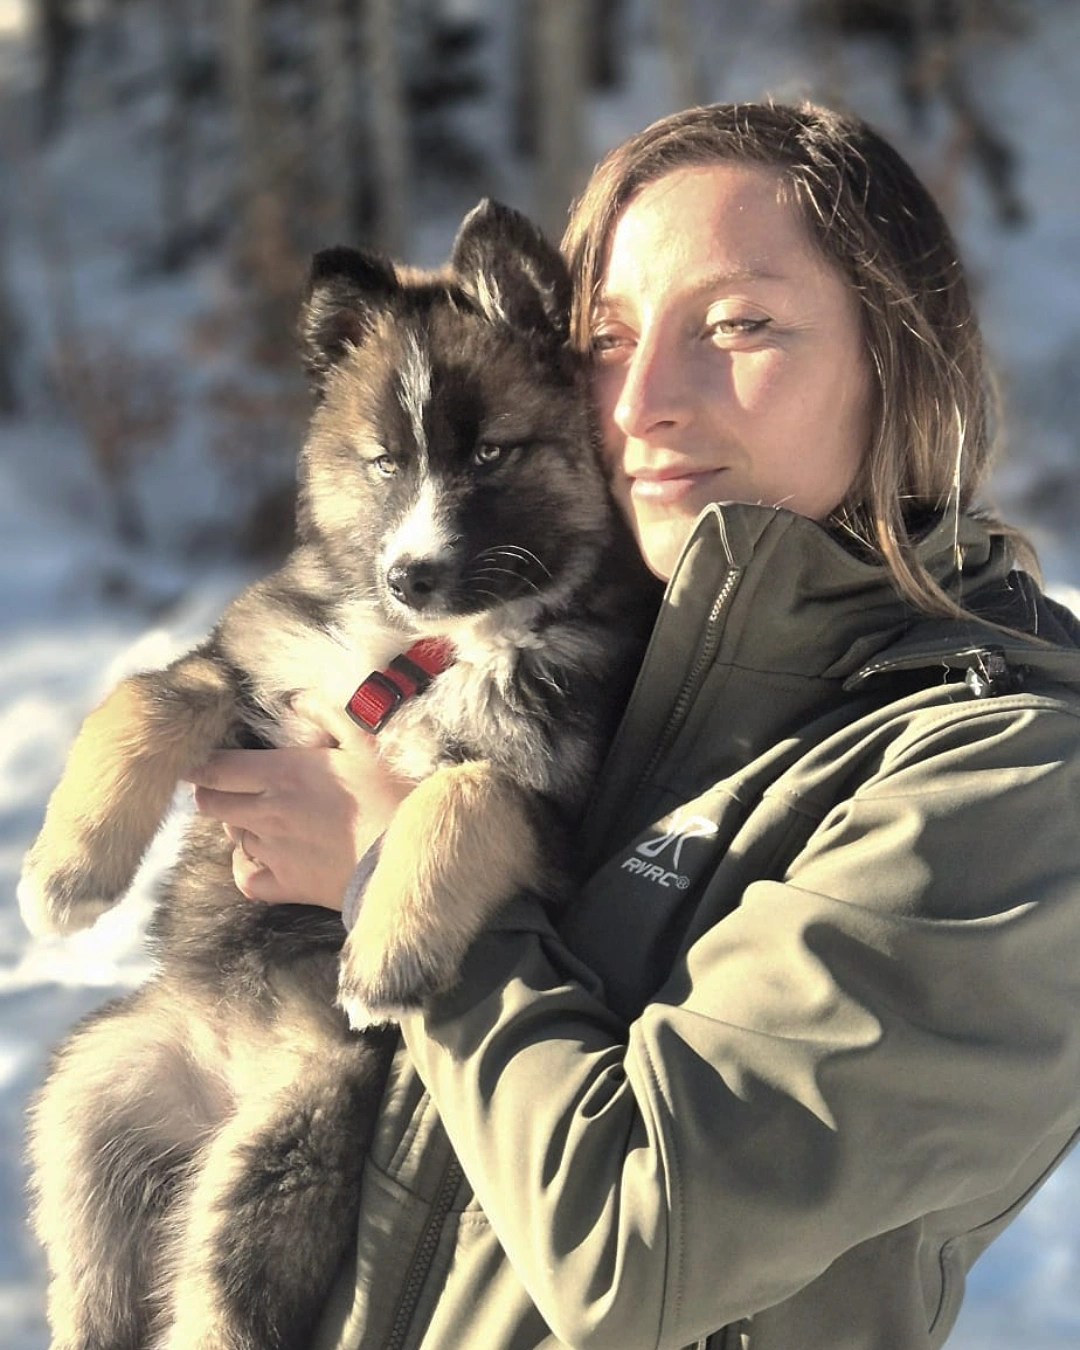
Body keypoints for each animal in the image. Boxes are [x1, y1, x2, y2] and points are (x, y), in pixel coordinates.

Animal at [18, 198, 657, 1350]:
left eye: (490, 452)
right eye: (384, 463)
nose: (410, 575)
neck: (430, 651)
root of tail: (214, 1085)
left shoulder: (558, 810)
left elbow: (460, 791)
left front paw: (386, 955)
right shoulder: (257, 667)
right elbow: (145, 699)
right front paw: (64, 878)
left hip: (283, 1150)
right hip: (90, 1112)